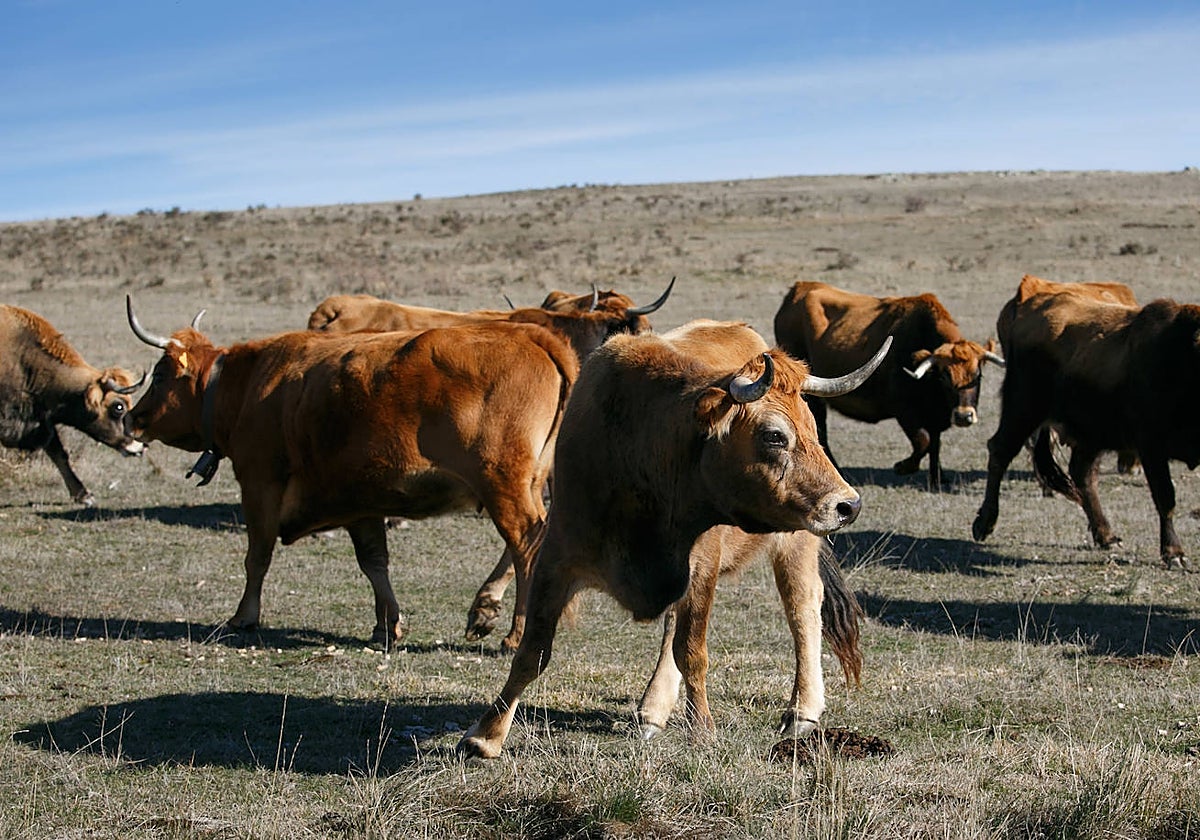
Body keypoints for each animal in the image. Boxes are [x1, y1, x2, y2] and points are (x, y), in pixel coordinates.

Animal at [124, 296, 579, 650]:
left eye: (160, 374)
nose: (131, 417)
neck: (249, 384)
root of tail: (531, 336)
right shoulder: (362, 504)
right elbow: (374, 563)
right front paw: (386, 625)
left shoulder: (259, 483)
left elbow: (258, 555)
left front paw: (244, 615)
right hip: (527, 484)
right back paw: (484, 609)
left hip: (502, 484)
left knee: (525, 545)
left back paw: (516, 634)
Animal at [774, 281, 1004, 490]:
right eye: (944, 377)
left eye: (978, 375)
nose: (964, 416)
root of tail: (799, 288)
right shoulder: (905, 412)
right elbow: (923, 441)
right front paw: (903, 467)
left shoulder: (934, 415)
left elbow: (935, 444)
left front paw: (938, 478)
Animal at [972, 282, 1200, 569]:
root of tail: (1027, 304)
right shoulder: (1151, 446)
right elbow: (1166, 497)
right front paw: (1174, 553)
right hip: (1022, 411)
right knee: (1000, 452)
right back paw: (984, 523)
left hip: (1090, 433)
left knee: (1082, 475)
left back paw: (1106, 535)